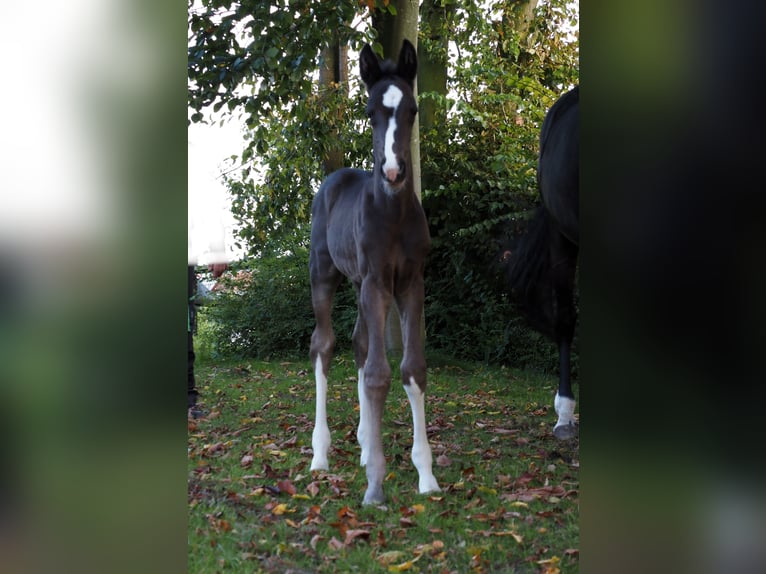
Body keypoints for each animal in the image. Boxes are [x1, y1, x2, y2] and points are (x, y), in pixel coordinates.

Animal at [306, 40, 438, 506]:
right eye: (370, 111)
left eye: (412, 109)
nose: (394, 172)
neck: (393, 215)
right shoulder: (378, 282)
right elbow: (380, 375)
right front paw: (376, 485)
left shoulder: (410, 283)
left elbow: (411, 368)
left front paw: (426, 475)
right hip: (325, 277)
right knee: (324, 345)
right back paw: (320, 455)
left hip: (361, 285)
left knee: (359, 345)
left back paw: (365, 443)